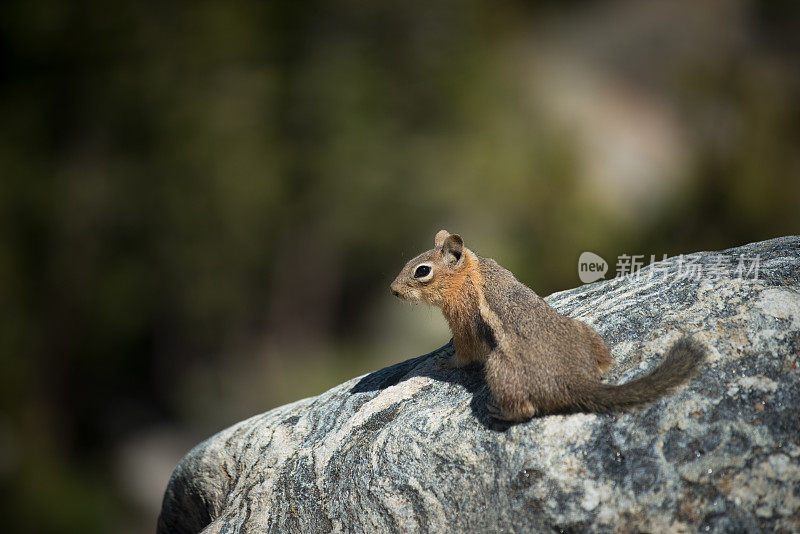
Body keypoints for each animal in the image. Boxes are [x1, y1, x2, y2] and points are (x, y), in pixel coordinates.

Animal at [390, 230, 708, 422]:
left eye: (422, 271)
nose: (393, 290)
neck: (469, 271)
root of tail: (573, 378)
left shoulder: (462, 321)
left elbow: (464, 353)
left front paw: (445, 362)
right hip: (583, 330)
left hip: (499, 368)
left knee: (526, 409)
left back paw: (499, 411)